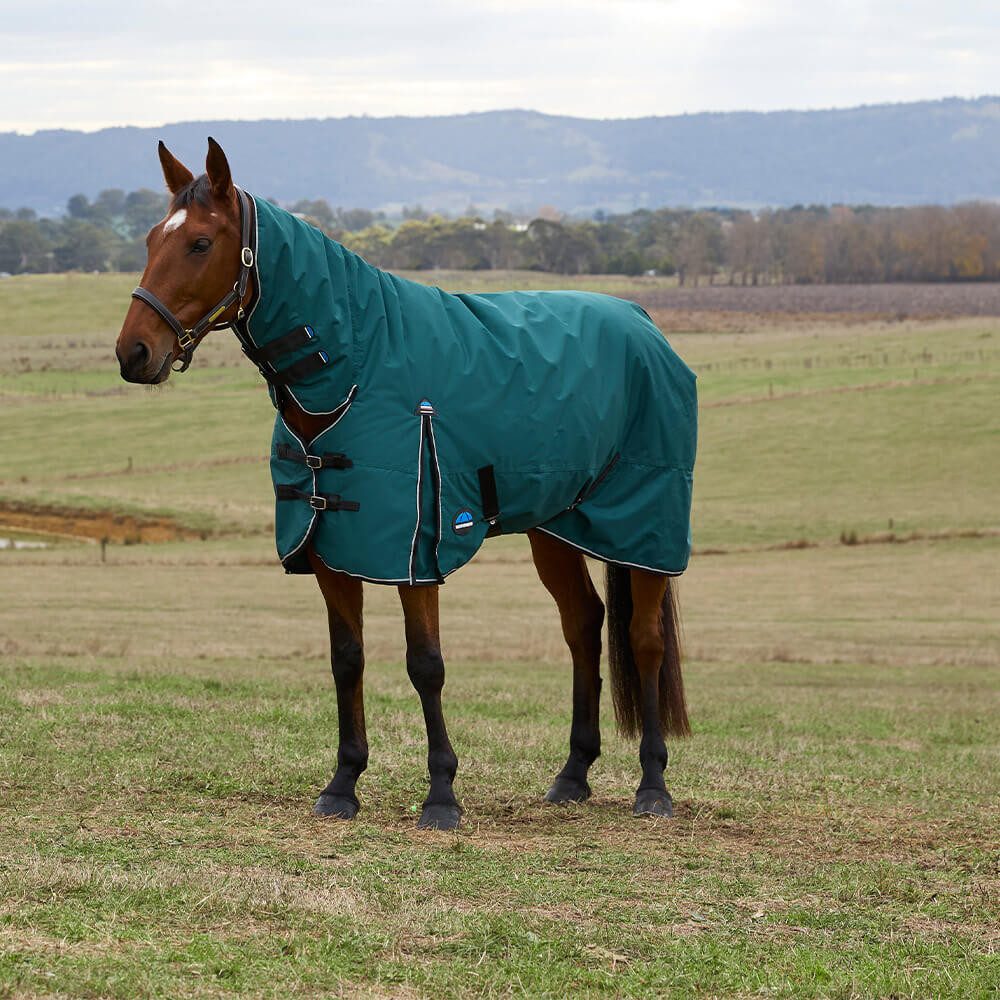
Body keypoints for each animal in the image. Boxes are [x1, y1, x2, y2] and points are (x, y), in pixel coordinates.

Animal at [115, 138, 696, 831]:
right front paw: (343, 784)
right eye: (152, 238)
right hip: (555, 527)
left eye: (200, 243)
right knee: (584, 626)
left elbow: (426, 665)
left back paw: (653, 785)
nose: (132, 353)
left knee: (644, 640)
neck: (356, 368)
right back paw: (572, 774)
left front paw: (441, 794)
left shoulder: (416, 552)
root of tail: (643, 321)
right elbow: (347, 660)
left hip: (643, 528)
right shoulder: (334, 547)